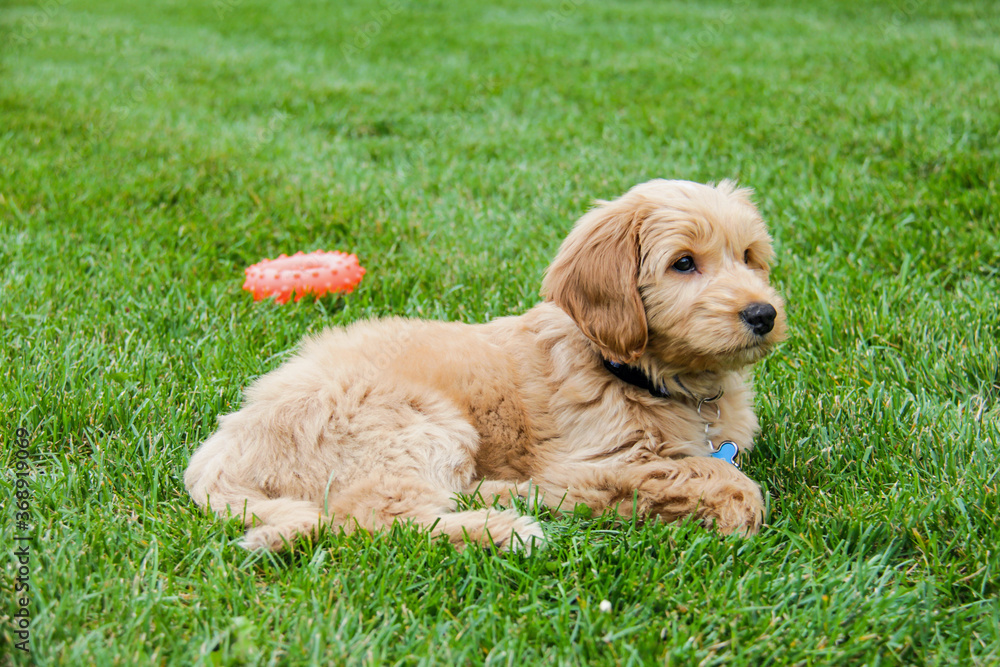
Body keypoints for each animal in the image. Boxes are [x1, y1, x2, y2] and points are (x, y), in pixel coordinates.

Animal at [184, 179, 784, 552]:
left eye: (750, 258)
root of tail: (220, 450)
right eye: (683, 263)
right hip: (413, 420)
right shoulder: (593, 457)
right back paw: (506, 529)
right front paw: (724, 503)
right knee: (379, 518)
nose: (764, 314)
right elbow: (721, 479)